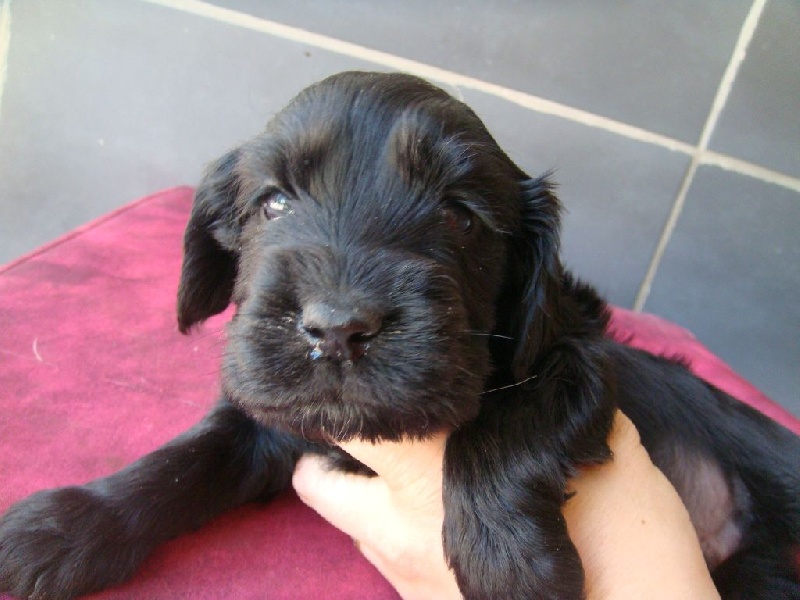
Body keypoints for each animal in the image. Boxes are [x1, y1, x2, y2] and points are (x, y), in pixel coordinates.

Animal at [0, 71, 798, 600]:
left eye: (459, 216)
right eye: (273, 203)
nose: (337, 330)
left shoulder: (578, 353)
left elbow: (509, 420)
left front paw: (511, 560)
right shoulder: (269, 418)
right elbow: (183, 461)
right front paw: (60, 529)